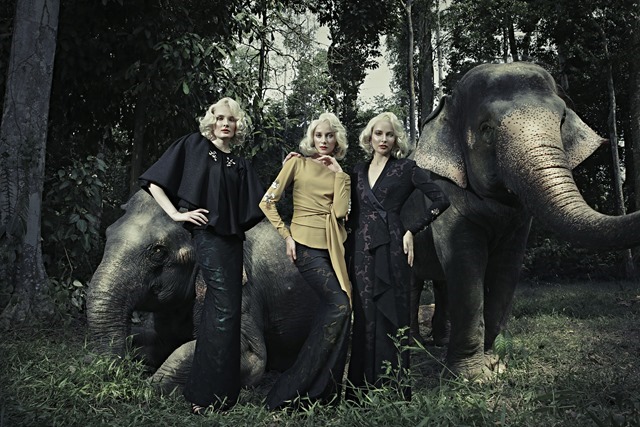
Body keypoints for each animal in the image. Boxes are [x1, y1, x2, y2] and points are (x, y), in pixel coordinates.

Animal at [86, 189, 319, 391]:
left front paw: (147, 387)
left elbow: (251, 356)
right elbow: (157, 340)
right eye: (107, 232)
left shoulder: (239, 290)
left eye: (159, 251)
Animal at [405, 62, 640, 378]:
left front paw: (495, 365)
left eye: (562, 119)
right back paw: (414, 344)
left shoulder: (518, 224)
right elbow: (466, 265)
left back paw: (439, 341)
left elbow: (507, 267)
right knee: (414, 283)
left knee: (441, 282)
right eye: (486, 129)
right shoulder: (447, 195)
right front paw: (471, 377)